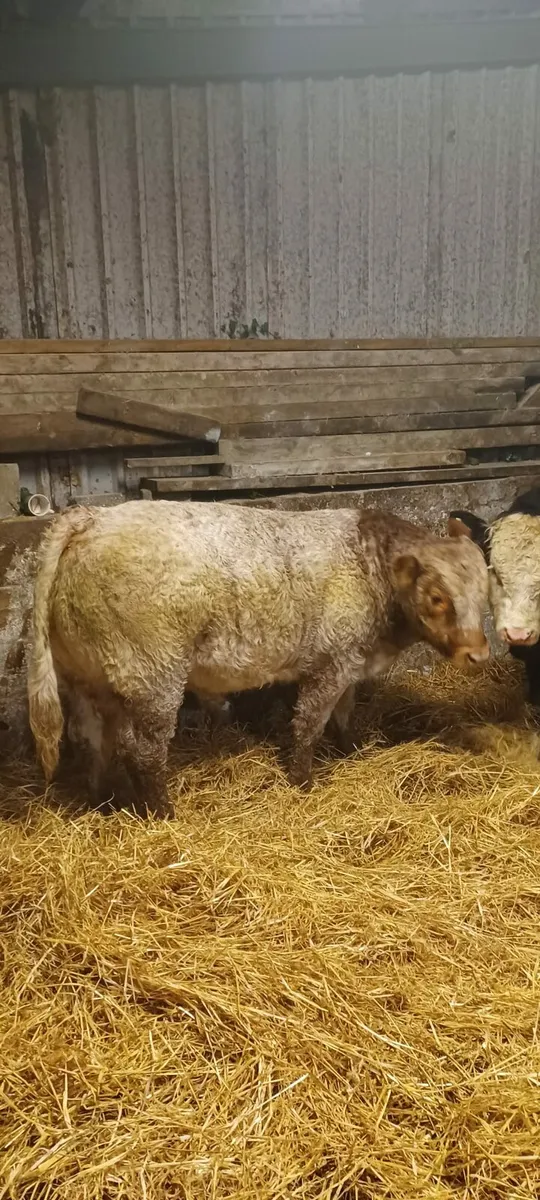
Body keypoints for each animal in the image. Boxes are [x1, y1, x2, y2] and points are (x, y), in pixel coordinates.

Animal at [27, 501, 489, 818]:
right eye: (437, 597)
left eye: (486, 589)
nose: (479, 653)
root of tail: (92, 516)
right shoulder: (331, 662)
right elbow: (310, 724)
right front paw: (303, 782)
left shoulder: (350, 662)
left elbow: (344, 715)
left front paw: (354, 752)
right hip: (152, 673)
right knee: (143, 751)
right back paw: (164, 813)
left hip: (84, 676)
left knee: (90, 739)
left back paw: (103, 802)